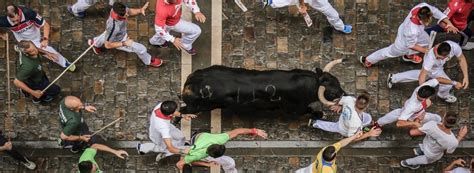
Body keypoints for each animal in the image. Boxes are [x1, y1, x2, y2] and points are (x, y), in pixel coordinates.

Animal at [180, 60, 346, 115]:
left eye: (337, 81)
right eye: (332, 92)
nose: (344, 94)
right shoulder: (296, 109)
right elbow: (309, 112)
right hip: (201, 107)